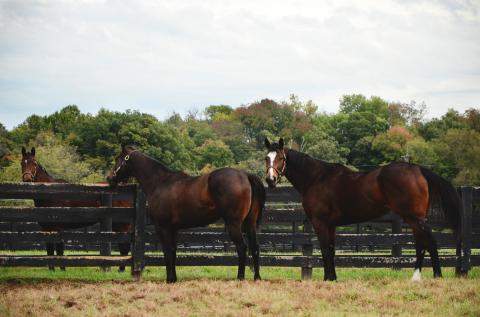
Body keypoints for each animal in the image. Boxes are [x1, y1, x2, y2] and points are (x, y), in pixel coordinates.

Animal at [107, 145, 264, 282]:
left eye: (118, 158)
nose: (109, 179)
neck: (160, 183)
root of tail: (245, 175)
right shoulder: (173, 229)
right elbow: (173, 251)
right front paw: (174, 278)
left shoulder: (162, 227)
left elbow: (167, 251)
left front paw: (169, 279)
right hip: (249, 223)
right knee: (255, 247)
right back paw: (257, 277)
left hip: (234, 224)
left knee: (242, 247)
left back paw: (240, 277)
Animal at [264, 137, 464, 280]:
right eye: (266, 158)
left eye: (280, 158)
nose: (270, 180)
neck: (317, 178)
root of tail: (417, 169)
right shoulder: (331, 225)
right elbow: (331, 249)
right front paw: (333, 278)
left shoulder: (320, 223)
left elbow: (325, 249)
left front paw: (327, 279)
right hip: (414, 219)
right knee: (422, 243)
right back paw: (417, 276)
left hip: (414, 217)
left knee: (430, 242)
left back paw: (434, 276)